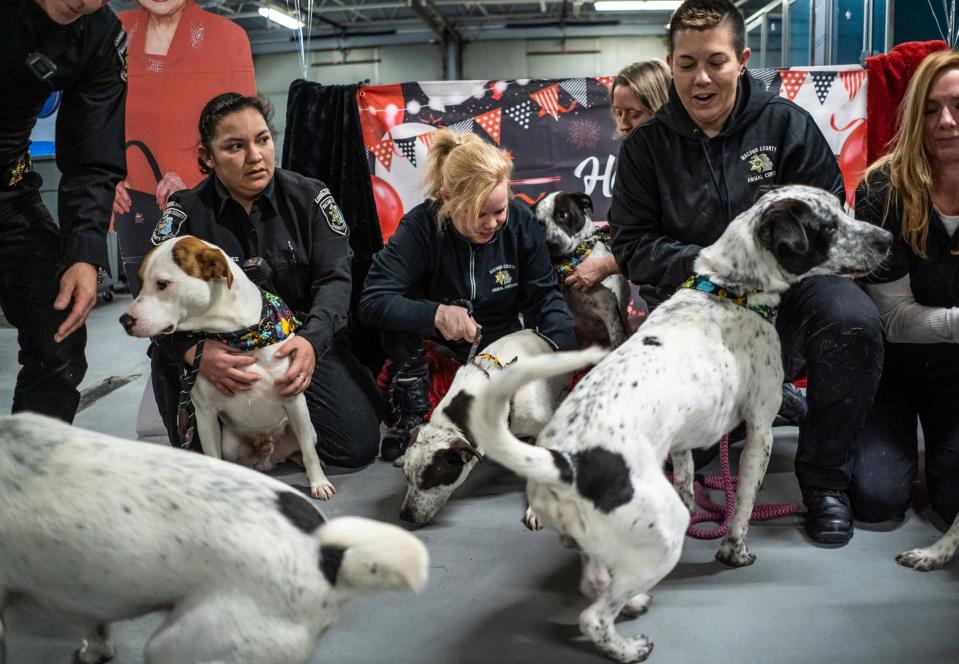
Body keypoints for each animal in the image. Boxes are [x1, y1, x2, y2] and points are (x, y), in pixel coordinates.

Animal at [120, 236, 334, 500]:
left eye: (162, 284)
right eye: (139, 282)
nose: (124, 320)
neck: (236, 334)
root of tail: (267, 452)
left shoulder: (294, 400)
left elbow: (308, 452)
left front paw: (318, 483)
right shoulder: (205, 414)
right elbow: (212, 456)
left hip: (307, 429)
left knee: (302, 449)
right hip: (231, 444)